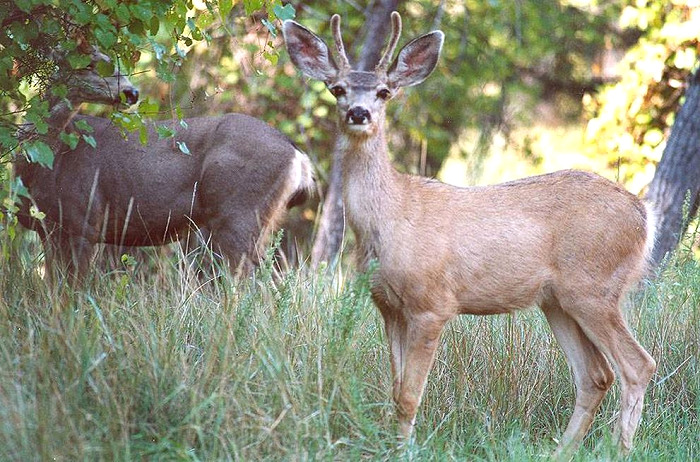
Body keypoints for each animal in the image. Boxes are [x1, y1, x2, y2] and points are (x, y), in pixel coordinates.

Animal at [13, 47, 314, 286]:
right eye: (88, 63)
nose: (131, 92)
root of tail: (298, 154)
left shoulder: (84, 222)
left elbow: (72, 293)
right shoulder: (49, 230)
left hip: (239, 213)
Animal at [284, 11, 656, 458]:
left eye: (384, 92)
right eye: (337, 88)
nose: (358, 113)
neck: (390, 219)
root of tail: (643, 214)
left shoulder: (433, 303)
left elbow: (409, 394)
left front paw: (405, 451)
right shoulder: (388, 306)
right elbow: (395, 390)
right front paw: (396, 446)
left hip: (594, 287)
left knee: (637, 365)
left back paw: (620, 449)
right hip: (557, 300)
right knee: (595, 375)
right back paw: (560, 451)